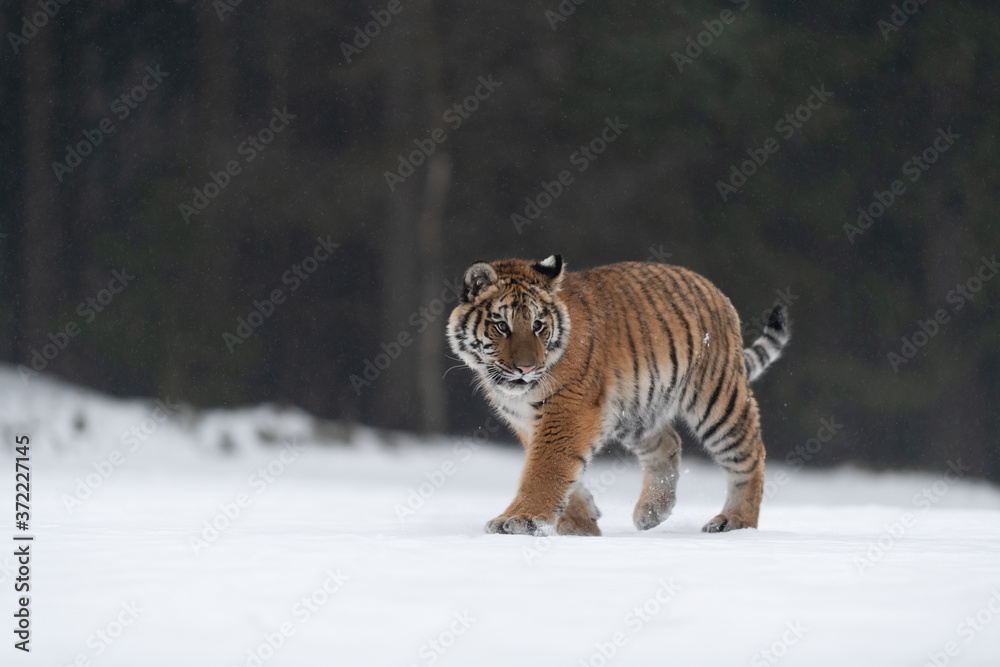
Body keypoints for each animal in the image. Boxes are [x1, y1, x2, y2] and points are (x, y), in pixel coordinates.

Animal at [446, 255, 790, 536]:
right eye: (502, 326)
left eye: (538, 325)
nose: (526, 367)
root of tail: (715, 290)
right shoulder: (528, 419)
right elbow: (559, 468)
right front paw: (580, 523)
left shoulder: (567, 408)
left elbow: (547, 467)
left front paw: (521, 520)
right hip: (636, 408)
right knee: (668, 443)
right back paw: (653, 512)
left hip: (717, 398)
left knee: (750, 455)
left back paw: (735, 523)